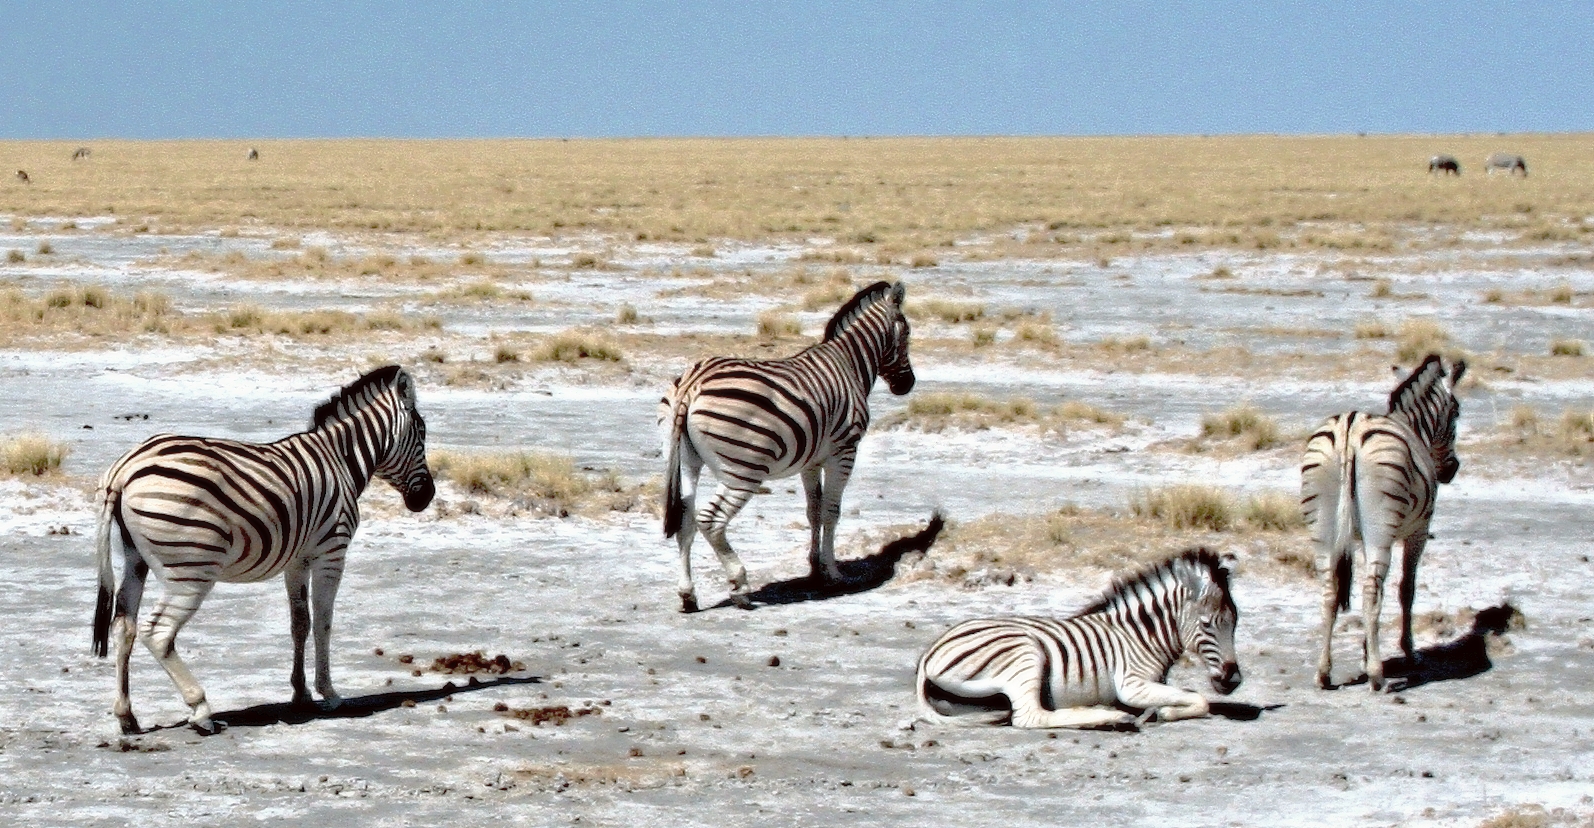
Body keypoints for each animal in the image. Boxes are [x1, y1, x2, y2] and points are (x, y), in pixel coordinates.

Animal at [90, 366, 433, 737]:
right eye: (422, 434)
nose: (426, 498)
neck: (340, 460)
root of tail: (123, 470)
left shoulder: (298, 559)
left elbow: (300, 623)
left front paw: (300, 693)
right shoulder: (331, 551)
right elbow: (324, 622)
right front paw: (328, 693)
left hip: (135, 558)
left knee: (124, 626)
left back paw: (126, 716)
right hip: (191, 568)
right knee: (158, 632)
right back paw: (201, 710)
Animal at [656, 282, 911, 612]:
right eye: (907, 333)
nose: (907, 385)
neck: (849, 363)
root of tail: (693, 382)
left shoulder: (811, 461)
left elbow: (814, 510)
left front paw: (815, 568)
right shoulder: (844, 451)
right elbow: (831, 510)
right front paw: (833, 573)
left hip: (685, 460)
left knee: (685, 521)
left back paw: (688, 594)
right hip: (744, 468)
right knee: (709, 520)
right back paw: (740, 587)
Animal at [918, 552, 1236, 733]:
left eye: (1235, 622)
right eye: (1207, 624)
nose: (1233, 680)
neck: (1143, 636)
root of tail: (928, 655)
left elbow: (1190, 697)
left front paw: (1161, 710)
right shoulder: (1132, 684)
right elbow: (1201, 699)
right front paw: (1167, 711)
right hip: (1025, 655)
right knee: (1030, 717)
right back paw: (1108, 718)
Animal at [1300, 352, 1460, 689]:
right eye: (1456, 412)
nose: (1451, 470)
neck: (1413, 427)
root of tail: (1349, 431)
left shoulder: (1361, 539)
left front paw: (1365, 652)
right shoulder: (1419, 531)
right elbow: (1405, 590)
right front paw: (1408, 652)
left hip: (1323, 528)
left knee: (1330, 593)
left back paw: (1323, 672)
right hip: (1381, 531)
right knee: (1372, 592)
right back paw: (1376, 676)